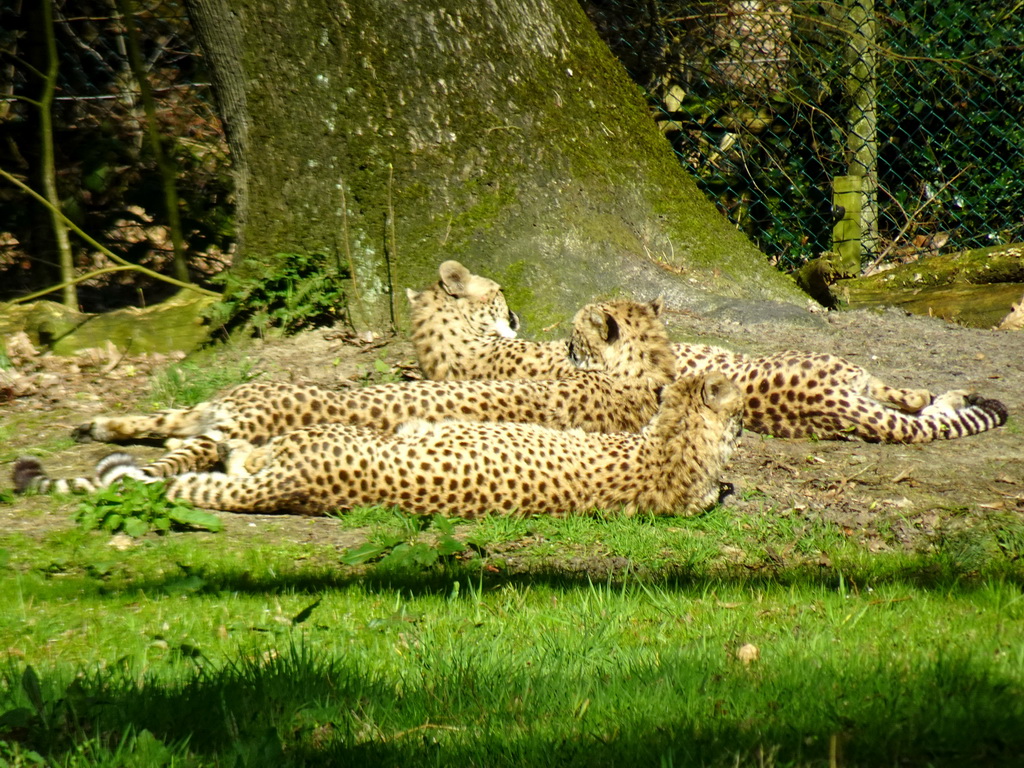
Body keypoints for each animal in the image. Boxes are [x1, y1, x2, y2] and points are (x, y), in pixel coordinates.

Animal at [18, 301, 679, 493]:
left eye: (578, 330)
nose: (567, 343)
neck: (645, 368)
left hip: (213, 420)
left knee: (172, 434)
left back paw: (98, 431)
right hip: (222, 413)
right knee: (165, 431)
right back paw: (92, 428)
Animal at [405, 260, 1007, 444]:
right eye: (499, 293)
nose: (515, 311)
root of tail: (826, 404)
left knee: (912, 407)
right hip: (849, 376)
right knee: (908, 398)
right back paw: (952, 392)